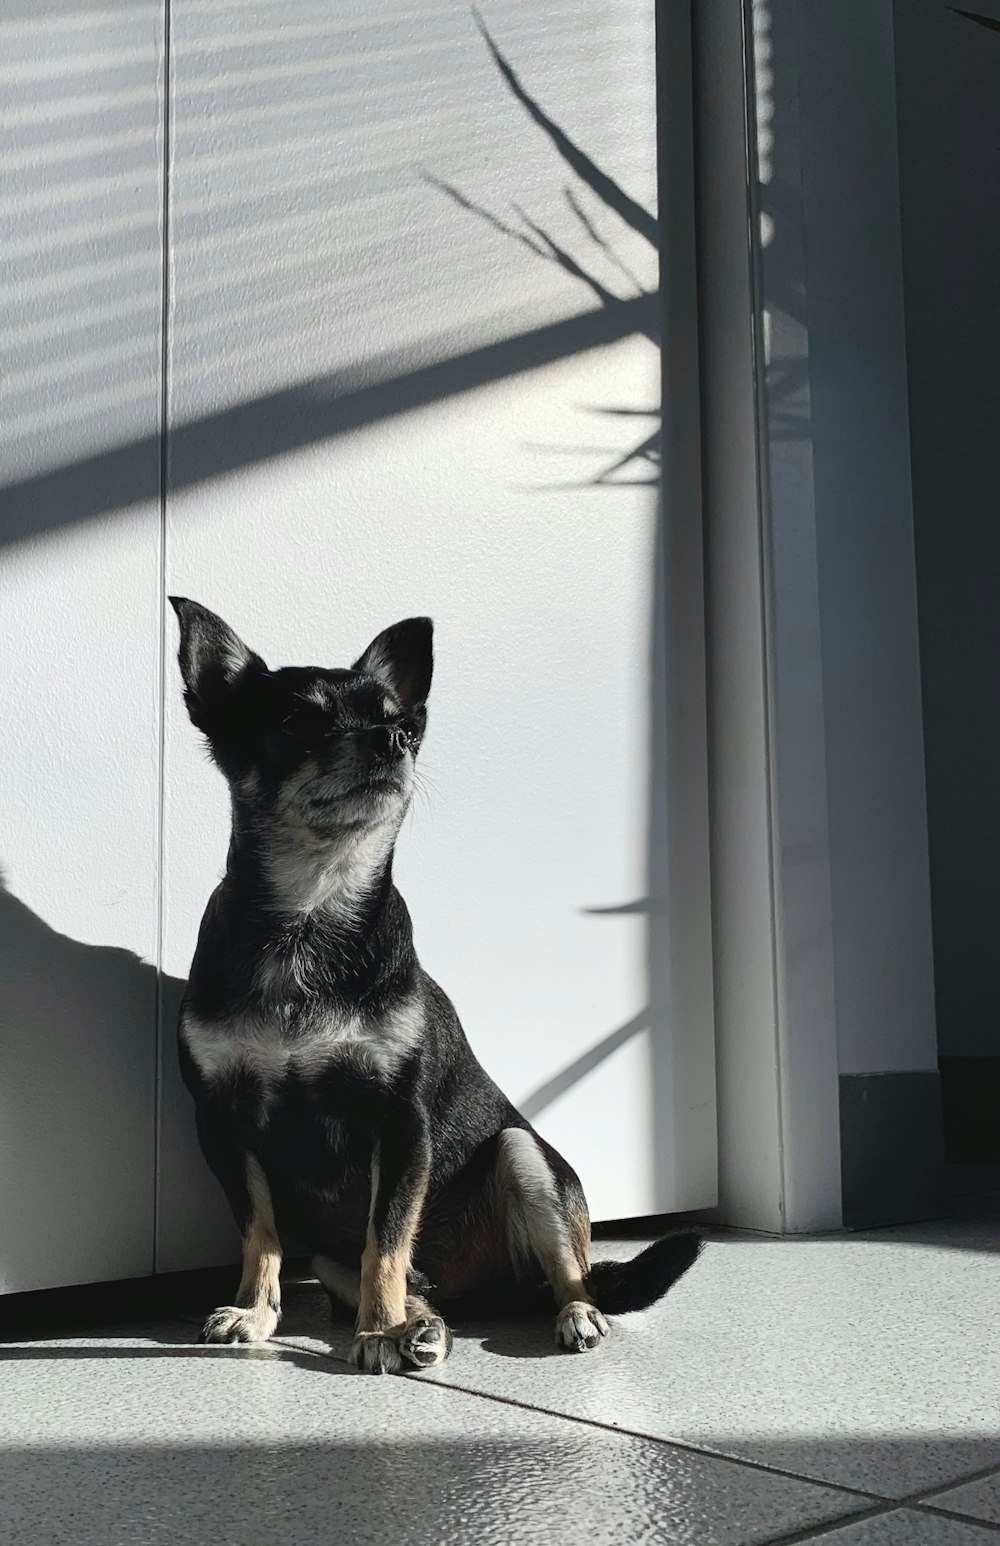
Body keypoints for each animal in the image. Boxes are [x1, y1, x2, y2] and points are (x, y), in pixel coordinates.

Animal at [170, 599, 704, 1379]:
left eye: (404, 724)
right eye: (299, 721)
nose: (392, 741)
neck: (311, 910)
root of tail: (492, 1292)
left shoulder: (401, 1124)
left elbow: (387, 1238)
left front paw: (378, 1333)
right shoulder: (222, 1122)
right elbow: (261, 1232)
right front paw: (258, 1312)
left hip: (524, 1156)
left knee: (566, 1270)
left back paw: (563, 1315)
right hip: (330, 1258)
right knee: (403, 1279)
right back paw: (423, 1324)